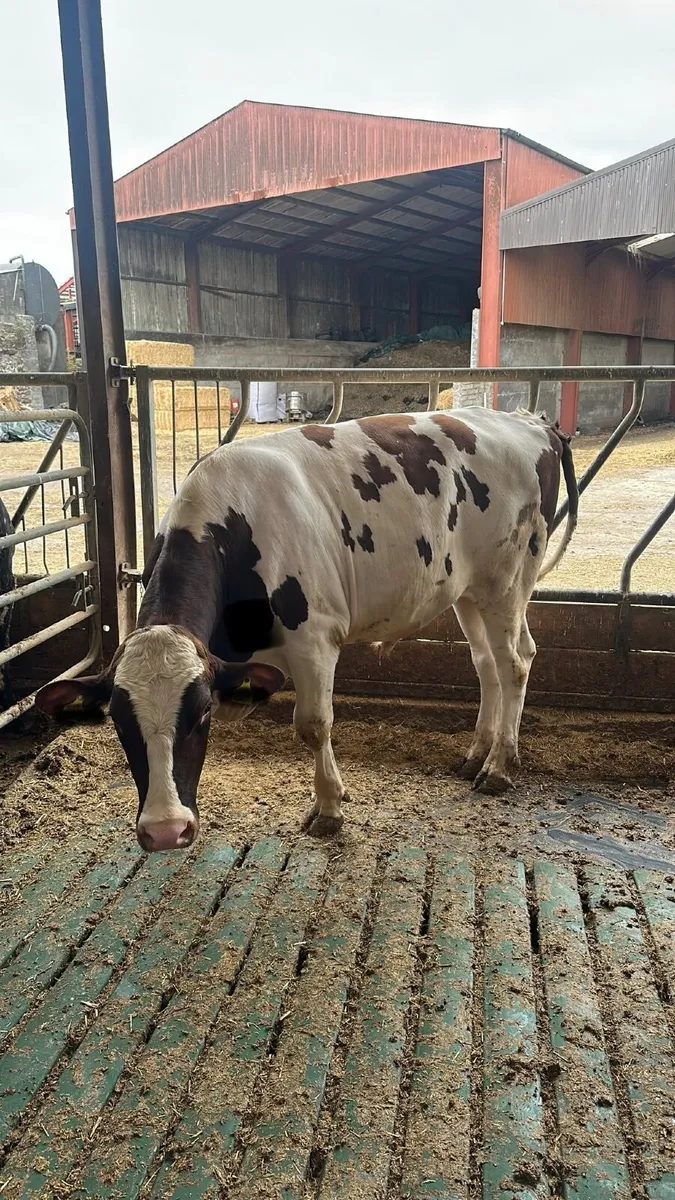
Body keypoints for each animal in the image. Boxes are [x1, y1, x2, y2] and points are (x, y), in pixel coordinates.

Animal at [35, 408, 577, 851]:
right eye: (118, 720)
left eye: (201, 712)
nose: (166, 830)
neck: (234, 526)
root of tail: (532, 423)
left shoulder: (315, 639)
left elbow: (313, 726)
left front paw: (329, 809)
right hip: (467, 591)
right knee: (487, 664)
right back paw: (477, 752)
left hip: (508, 581)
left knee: (514, 663)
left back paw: (499, 765)